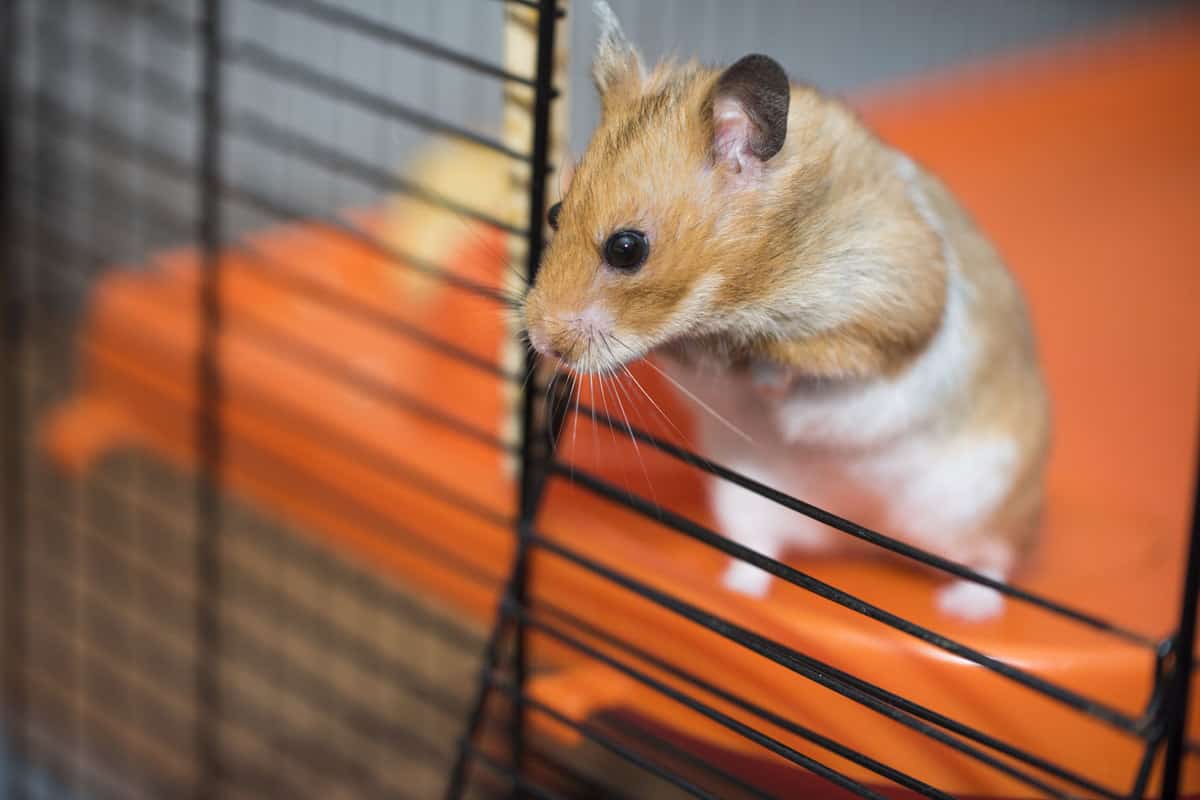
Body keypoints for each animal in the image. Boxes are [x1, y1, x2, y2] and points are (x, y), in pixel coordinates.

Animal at [522, 1, 1050, 622]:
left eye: (626, 248)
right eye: (555, 212)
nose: (539, 341)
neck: (743, 294)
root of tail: (856, 538)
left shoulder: (894, 302)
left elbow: (824, 363)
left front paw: (770, 382)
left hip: (984, 498)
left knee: (992, 561)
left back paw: (964, 610)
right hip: (744, 498)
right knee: (759, 552)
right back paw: (733, 591)